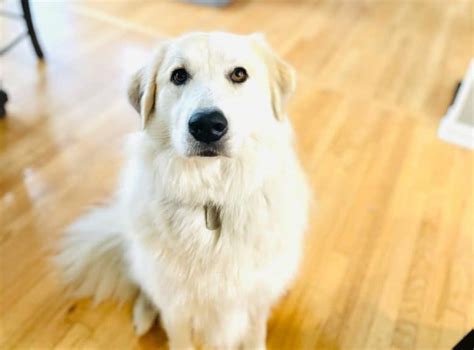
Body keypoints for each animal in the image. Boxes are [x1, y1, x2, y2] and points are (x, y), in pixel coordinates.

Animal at [57, 32, 310, 350]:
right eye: (179, 76)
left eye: (239, 74)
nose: (207, 125)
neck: (212, 200)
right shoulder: (176, 307)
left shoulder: (255, 300)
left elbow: (254, 336)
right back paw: (143, 314)